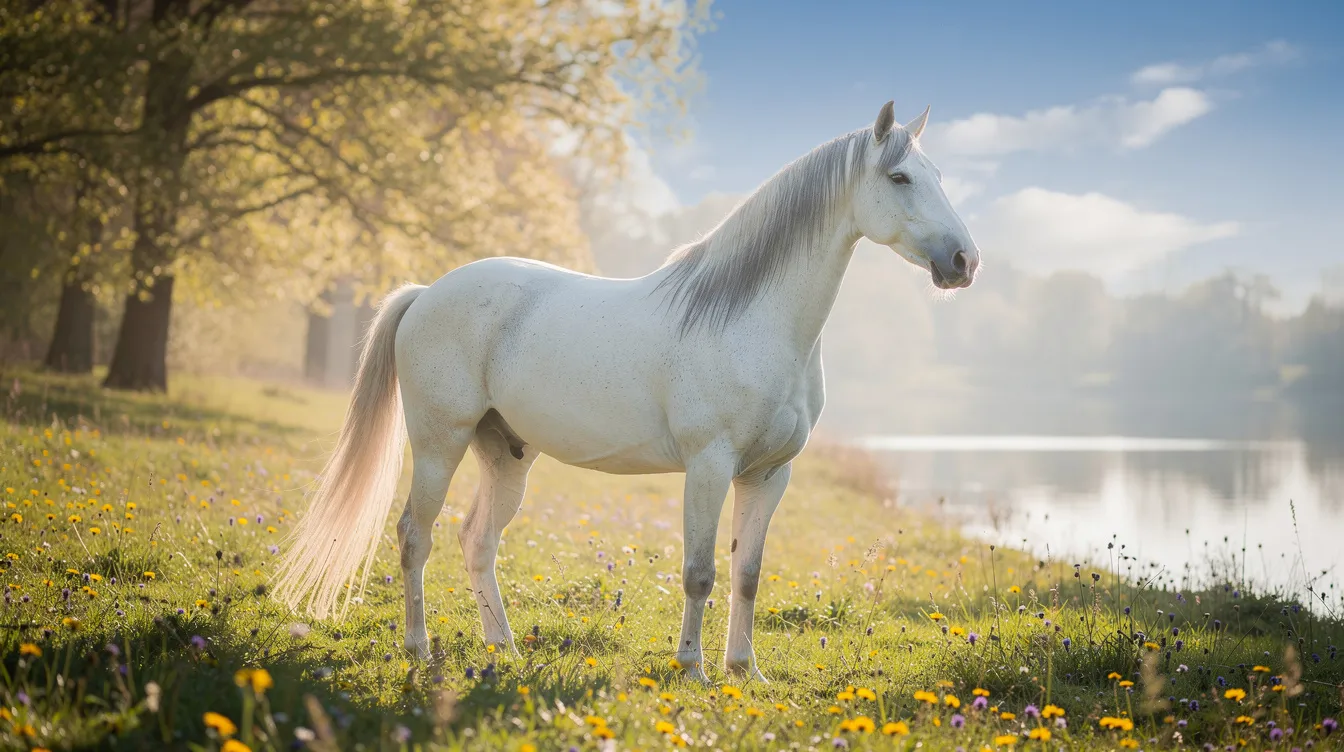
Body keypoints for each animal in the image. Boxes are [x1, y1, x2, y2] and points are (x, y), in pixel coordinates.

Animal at [273, 100, 980, 683]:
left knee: (477, 541)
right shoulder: (710, 465)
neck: (749, 317)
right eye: (899, 178)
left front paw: (746, 671)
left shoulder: (768, 474)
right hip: (438, 444)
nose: (964, 262)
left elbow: (747, 575)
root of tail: (426, 293)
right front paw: (693, 669)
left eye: (941, 175)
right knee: (414, 537)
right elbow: (700, 572)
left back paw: (506, 649)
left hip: (504, 454)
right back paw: (419, 650)